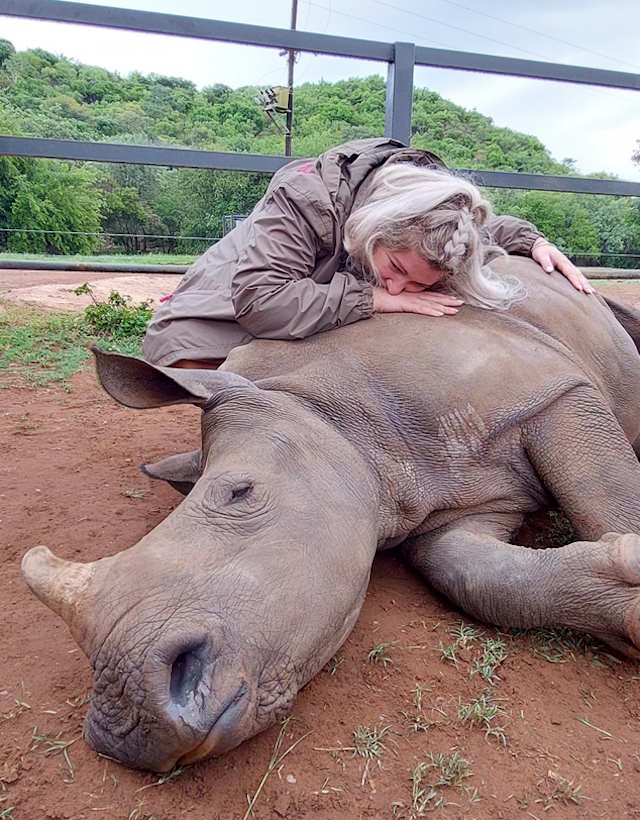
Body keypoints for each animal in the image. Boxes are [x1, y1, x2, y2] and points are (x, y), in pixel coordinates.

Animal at [22, 260, 640, 772]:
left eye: (241, 493)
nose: (129, 723)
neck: (327, 406)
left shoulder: (552, 394)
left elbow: (607, 491)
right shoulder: (456, 507)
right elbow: (480, 577)